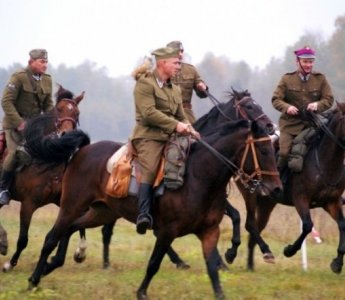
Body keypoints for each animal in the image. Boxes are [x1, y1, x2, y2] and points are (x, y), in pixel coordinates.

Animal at [0, 85, 86, 272]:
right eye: (59, 110)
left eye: (76, 112)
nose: (65, 134)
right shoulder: (28, 204)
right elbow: (23, 240)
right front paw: (10, 264)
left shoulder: (64, 202)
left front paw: (80, 252)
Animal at [25, 118, 280, 298]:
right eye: (264, 151)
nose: (277, 189)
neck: (199, 177)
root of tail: (84, 150)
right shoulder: (167, 231)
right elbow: (154, 263)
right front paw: (141, 292)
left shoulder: (209, 232)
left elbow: (212, 270)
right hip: (71, 206)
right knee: (51, 238)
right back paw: (34, 280)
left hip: (101, 211)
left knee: (72, 228)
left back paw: (55, 263)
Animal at [246, 102, 344, 274]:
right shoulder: (301, 199)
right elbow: (307, 226)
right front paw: (289, 250)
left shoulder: (332, 202)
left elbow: (342, 225)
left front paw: (337, 263)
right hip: (251, 196)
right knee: (249, 225)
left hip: (266, 204)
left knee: (256, 228)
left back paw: (251, 264)